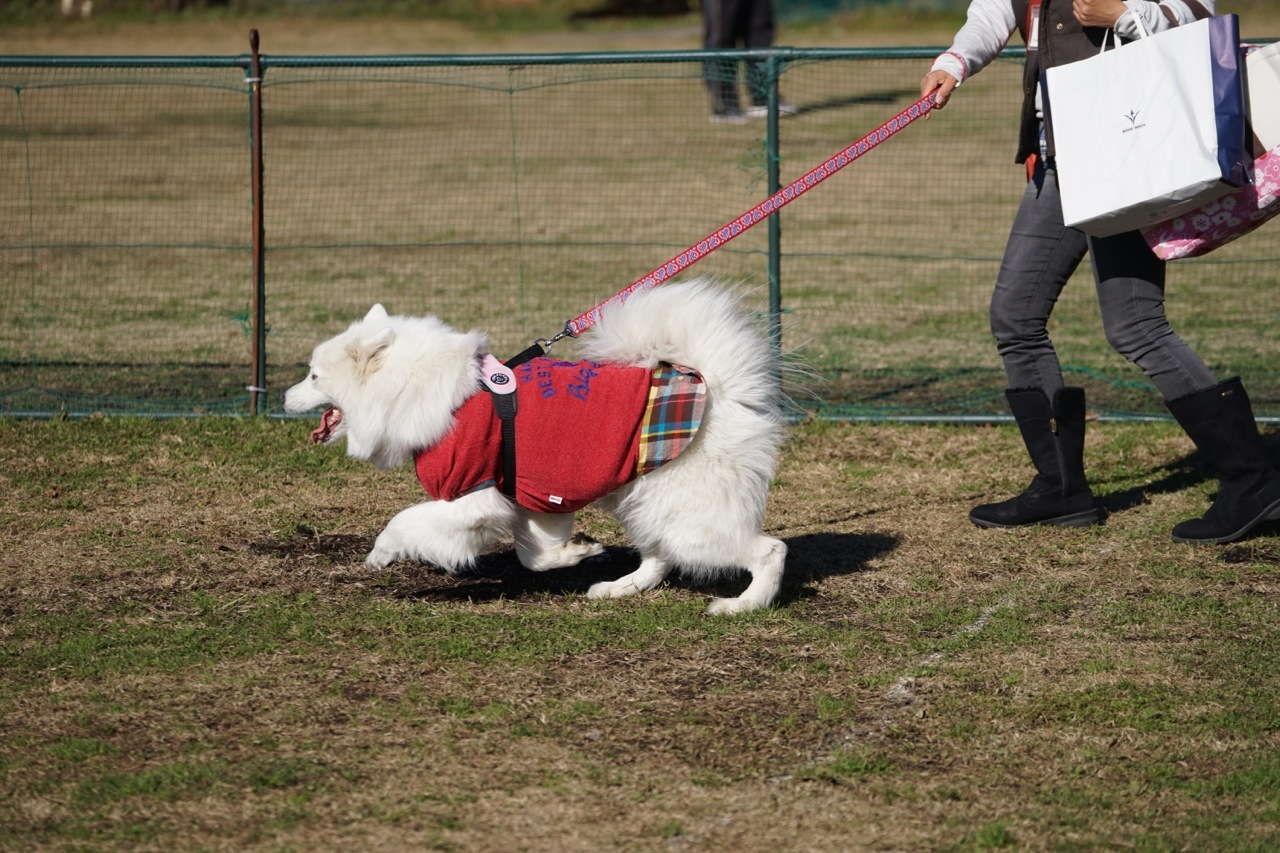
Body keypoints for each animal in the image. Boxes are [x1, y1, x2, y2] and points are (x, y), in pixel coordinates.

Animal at [285, 279, 783, 612]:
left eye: (313, 376)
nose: (285, 397)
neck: (415, 387)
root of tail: (716, 388)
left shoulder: (472, 493)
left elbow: (402, 522)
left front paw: (380, 555)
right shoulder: (530, 494)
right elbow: (534, 555)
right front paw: (577, 552)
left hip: (688, 515)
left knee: (769, 551)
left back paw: (742, 605)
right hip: (645, 500)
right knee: (660, 557)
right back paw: (618, 587)